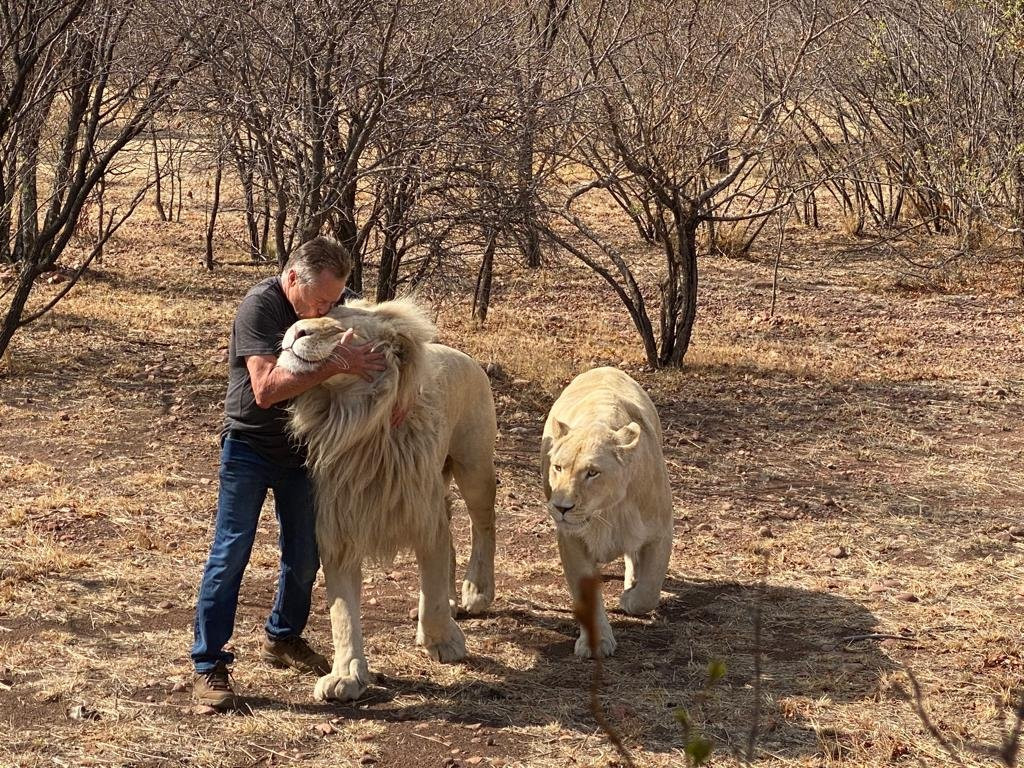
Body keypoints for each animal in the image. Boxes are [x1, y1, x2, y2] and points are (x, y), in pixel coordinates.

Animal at [277, 297, 497, 702]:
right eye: (318, 314)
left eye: (342, 327)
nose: (296, 331)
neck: (356, 424)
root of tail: (464, 355)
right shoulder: (340, 530)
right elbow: (343, 613)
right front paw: (346, 675)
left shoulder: (424, 518)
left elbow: (432, 591)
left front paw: (443, 642)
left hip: (473, 465)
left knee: (484, 523)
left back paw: (476, 591)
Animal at [541, 367, 673, 658]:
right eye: (558, 467)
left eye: (592, 472)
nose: (561, 507)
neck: (606, 511)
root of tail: (604, 368)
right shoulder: (571, 539)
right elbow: (585, 595)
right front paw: (597, 642)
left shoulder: (660, 531)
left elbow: (649, 591)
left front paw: (630, 598)